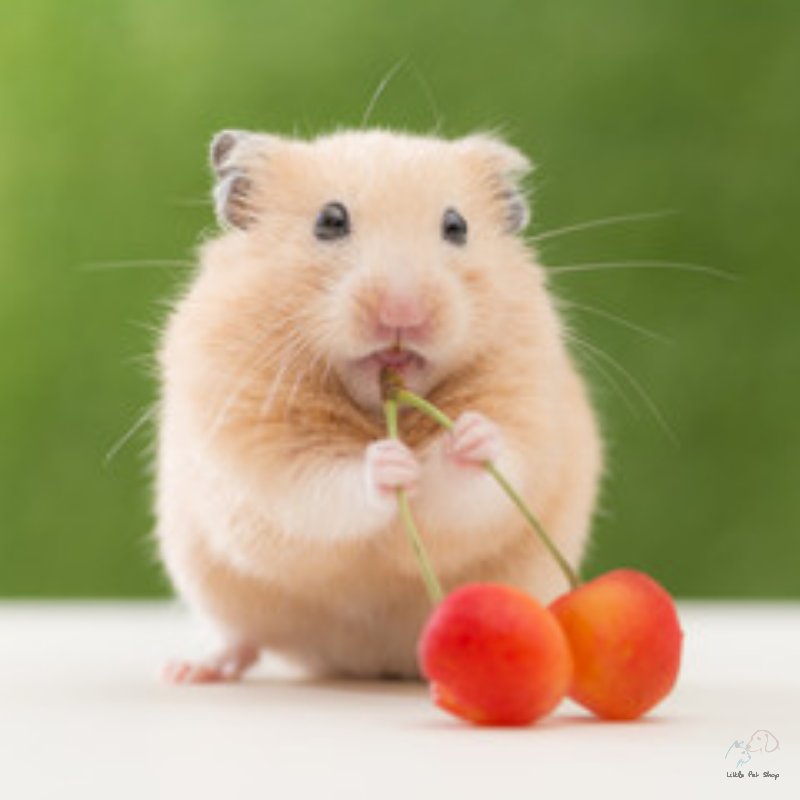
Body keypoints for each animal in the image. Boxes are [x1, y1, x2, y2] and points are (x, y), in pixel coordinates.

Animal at [156, 128, 602, 682]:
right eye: (330, 221)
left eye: (456, 226)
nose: (403, 313)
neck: (380, 406)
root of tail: (365, 664)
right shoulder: (256, 444)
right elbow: (318, 486)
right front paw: (388, 464)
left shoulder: (528, 408)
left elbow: (488, 477)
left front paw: (470, 438)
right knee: (243, 638)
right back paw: (193, 670)